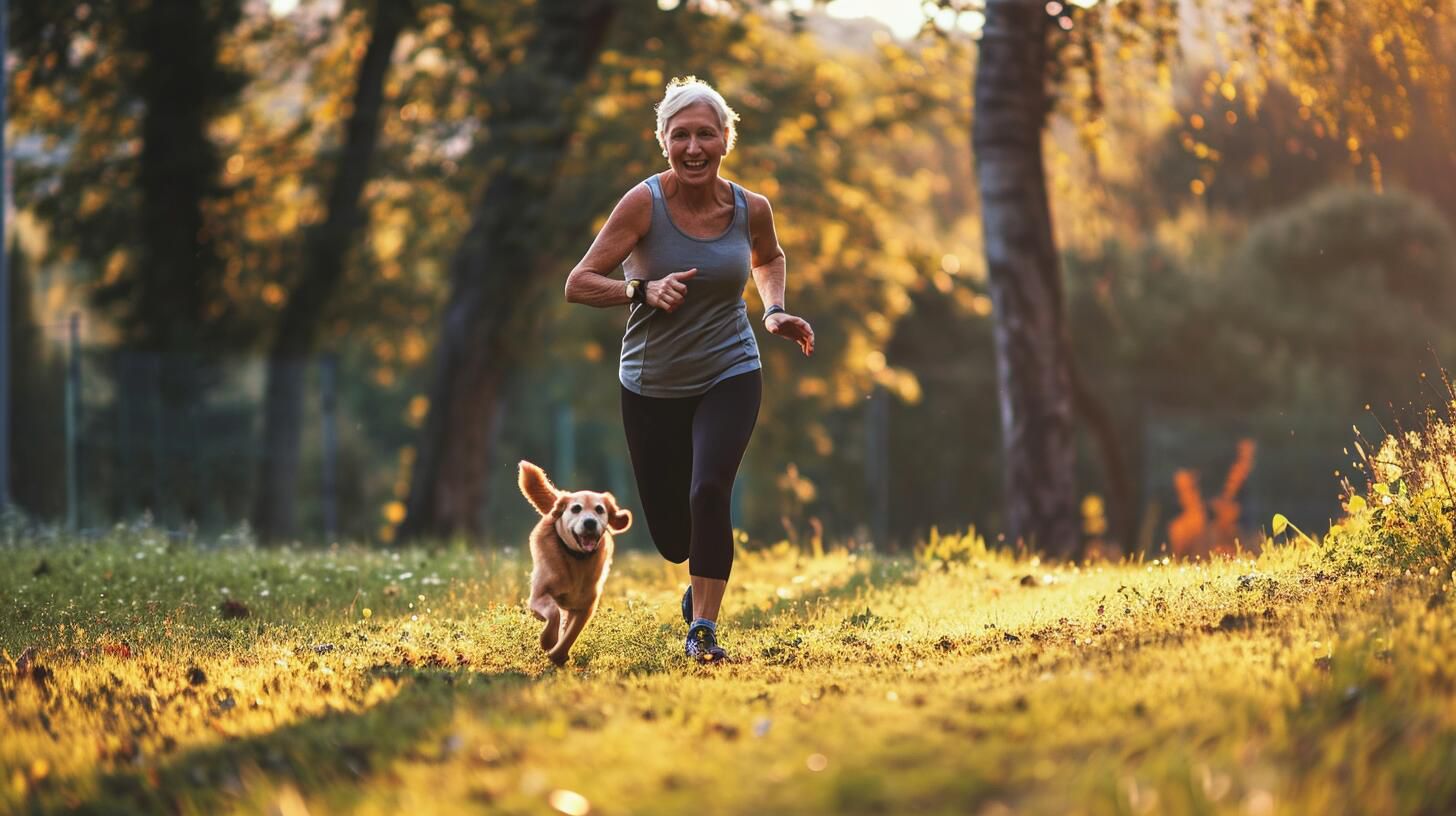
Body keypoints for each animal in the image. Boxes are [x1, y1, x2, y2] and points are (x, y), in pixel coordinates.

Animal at [518, 460, 631, 664]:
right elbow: (553, 613)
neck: (576, 559)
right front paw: (548, 641)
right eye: (576, 508)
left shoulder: (584, 607)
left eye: (599, 509)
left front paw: (558, 655)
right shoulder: (538, 596)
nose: (590, 523)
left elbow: (571, 635)